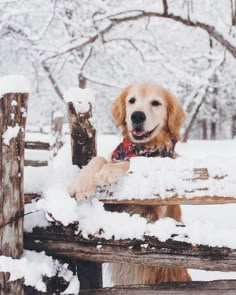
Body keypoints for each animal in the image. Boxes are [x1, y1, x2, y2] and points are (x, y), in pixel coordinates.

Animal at [69, 84, 192, 286]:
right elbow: (99, 158)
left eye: (156, 103)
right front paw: (82, 182)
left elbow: (131, 162)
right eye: (132, 101)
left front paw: (109, 171)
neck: (140, 148)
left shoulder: (153, 212)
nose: (137, 116)